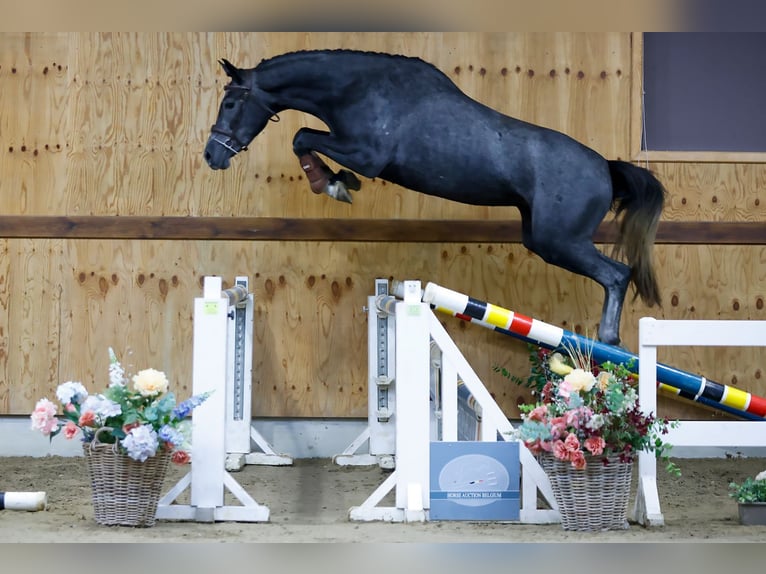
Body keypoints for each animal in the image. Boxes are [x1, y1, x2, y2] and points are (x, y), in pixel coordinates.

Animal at [204, 50, 664, 346]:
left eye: (231, 103)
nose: (212, 155)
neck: (357, 87)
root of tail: (605, 167)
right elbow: (304, 138)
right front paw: (336, 182)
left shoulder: (367, 155)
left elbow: (302, 135)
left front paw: (333, 184)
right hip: (540, 237)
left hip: (561, 242)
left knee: (617, 275)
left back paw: (609, 341)